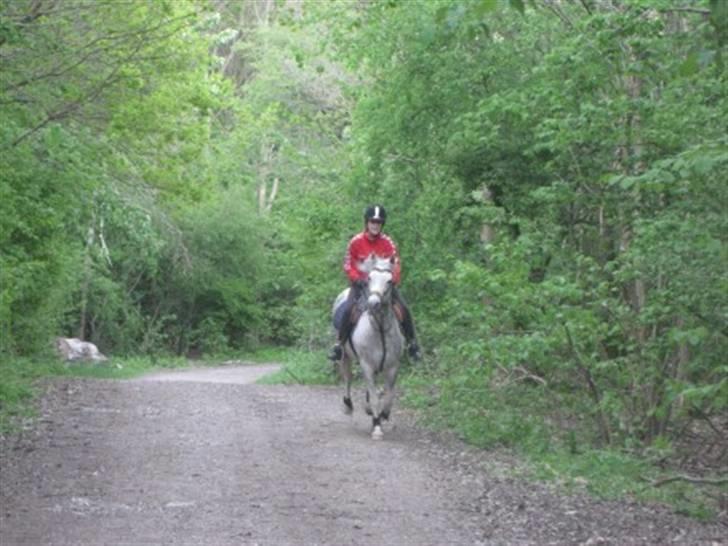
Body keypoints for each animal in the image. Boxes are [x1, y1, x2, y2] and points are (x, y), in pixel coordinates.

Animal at [332, 254, 404, 438]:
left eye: (389, 281)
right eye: (369, 278)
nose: (373, 303)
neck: (380, 329)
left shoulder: (393, 366)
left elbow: (389, 394)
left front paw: (384, 414)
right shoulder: (367, 365)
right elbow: (375, 397)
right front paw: (377, 427)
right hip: (346, 356)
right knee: (348, 378)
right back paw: (348, 405)